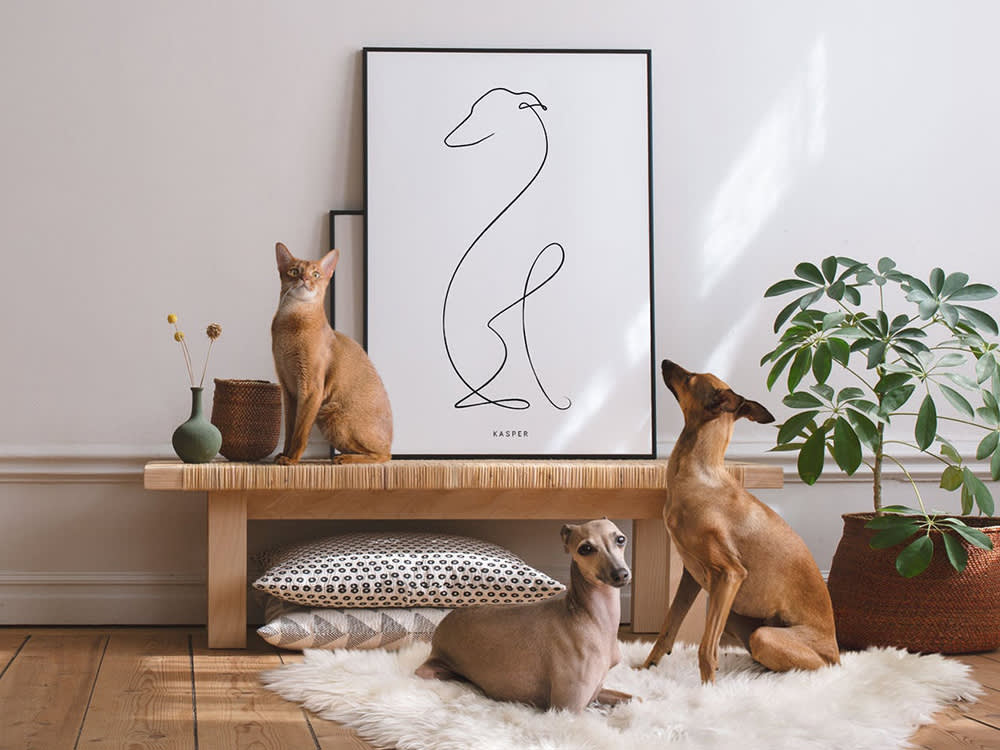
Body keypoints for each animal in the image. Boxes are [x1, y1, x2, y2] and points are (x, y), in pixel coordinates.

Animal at [272, 244, 392, 464]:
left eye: (316, 274)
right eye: (294, 271)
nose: (305, 279)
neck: (291, 322)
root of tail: (391, 439)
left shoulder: (311, 387)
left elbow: (300, 431)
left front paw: (291, 459)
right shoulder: (288, 389)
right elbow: (290, 428)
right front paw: (283, 454)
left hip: (333, 414)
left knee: (384, 455)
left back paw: (345, 459)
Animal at [414, 520, 632, 712]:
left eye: (620, 539)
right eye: (585, 548)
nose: (621, 574)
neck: (590, 618)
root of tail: (445, 619)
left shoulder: (596, 693)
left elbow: (633, 697)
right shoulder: (567, 708)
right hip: (429, 672)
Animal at [640, 362, 836, 684]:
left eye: (690, 378)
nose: (665, 362)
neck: (699, 476)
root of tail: (836, 653)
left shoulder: (729, 575)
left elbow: (706, 647)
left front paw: (708, 689)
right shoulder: (692, 576)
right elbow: (668, 629)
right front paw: (644, 670)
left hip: (763, 634)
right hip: (736, 615)